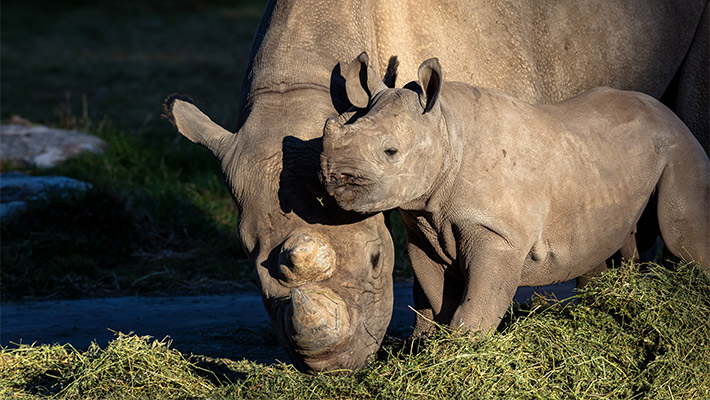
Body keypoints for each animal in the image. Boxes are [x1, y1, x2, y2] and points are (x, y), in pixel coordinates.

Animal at [321, 54, 710, 335]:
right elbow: (436, 295)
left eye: (391, 152)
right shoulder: (421, 227)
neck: (445, 128)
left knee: (682, 239)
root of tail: (672, 116)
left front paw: (463, 350)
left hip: (679, 146)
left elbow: (479, 300)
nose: (334, 177)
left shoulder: (498, 233)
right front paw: (431, 347)